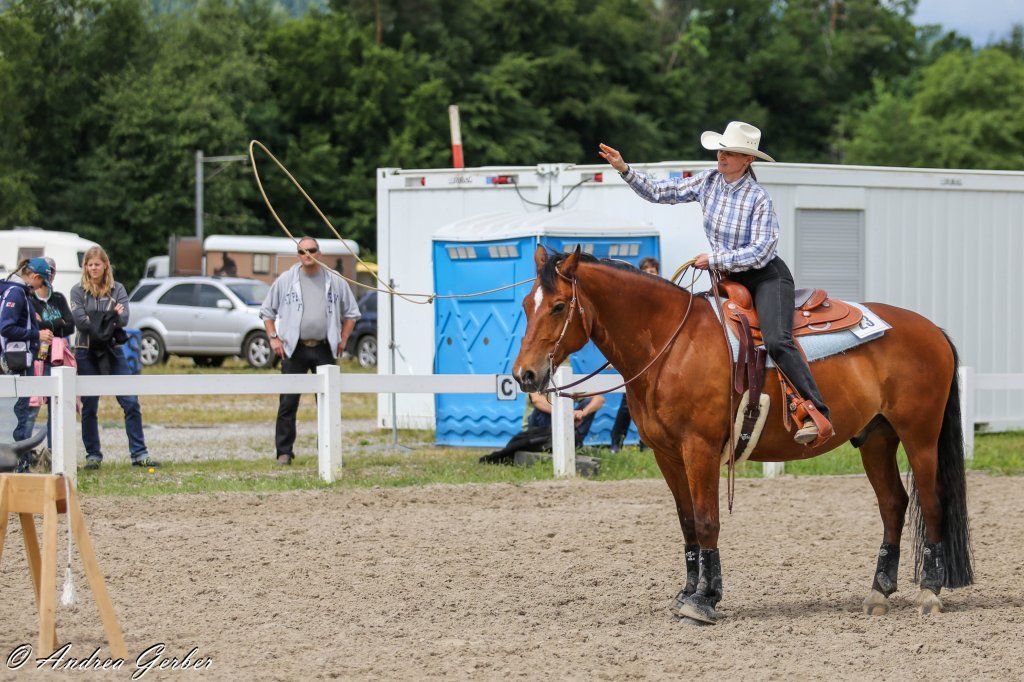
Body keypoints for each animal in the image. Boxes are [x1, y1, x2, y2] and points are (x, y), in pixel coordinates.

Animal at [512, 246, 972, 623]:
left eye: (558, 306)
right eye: (525, 304)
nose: (524, 375)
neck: (670, 345)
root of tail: (932, 329)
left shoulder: (698, 449)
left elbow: (706, 520)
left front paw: (705, 600)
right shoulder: (667, 454)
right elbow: (687, 523)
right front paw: (687, 592)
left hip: (920, 436)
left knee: (932, 502)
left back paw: (930, 592)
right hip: (876, 438)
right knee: (893, 504)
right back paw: (879, 593)